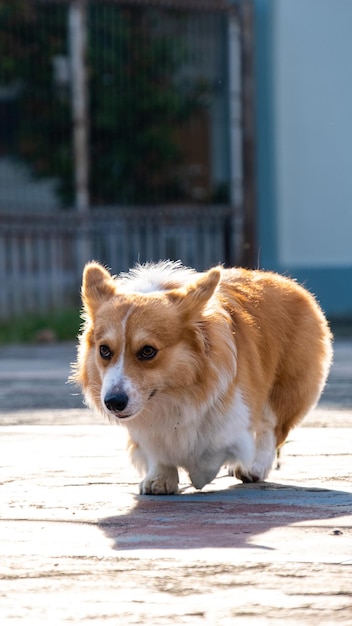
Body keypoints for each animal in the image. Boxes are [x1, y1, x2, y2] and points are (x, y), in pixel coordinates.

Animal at [72, 258, 332, 492]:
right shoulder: (148, 425)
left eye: (148, 351)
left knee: (270, 429)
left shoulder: (232, 407)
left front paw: (200, 473)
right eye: (105, 350)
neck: (172, 394)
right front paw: (160, 478)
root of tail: (288, 282)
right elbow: (157, 449)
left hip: (284, 390)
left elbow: (216, 447)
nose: (113, 402)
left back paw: (254, 467)